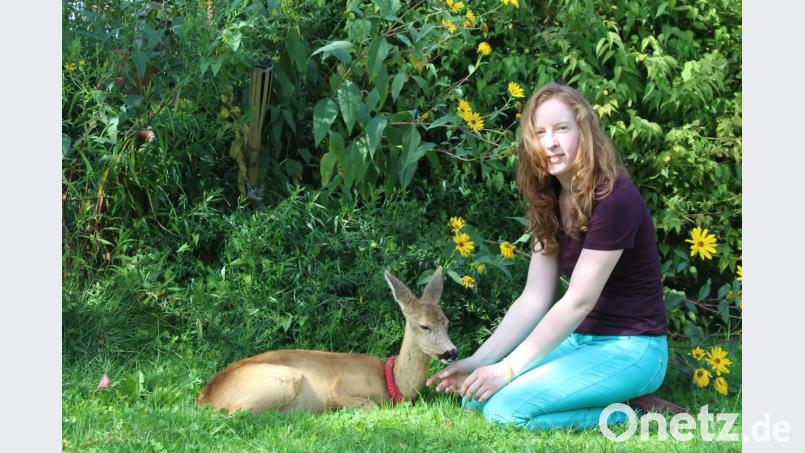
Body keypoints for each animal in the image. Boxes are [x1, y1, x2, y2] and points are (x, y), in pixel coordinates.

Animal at [197, 267, 458, 414]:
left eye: (447, 322)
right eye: (424, 326)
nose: (452, 352)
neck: (390, 380)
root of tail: (205, 397)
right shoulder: (337, 389)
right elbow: (368, 405)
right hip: (286, 378)